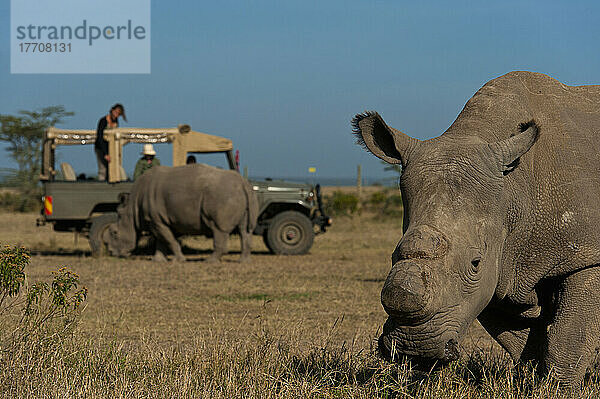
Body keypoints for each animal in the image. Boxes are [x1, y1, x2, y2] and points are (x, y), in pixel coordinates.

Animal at [109, 164, 258, 264]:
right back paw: (243, 262)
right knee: (244, 230)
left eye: (115, 233)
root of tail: (244, 182)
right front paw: (158, 261)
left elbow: (168, 240)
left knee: (219, 229)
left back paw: (209, 261)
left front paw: (179, 260)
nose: (112, 253)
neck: (131, 209)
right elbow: (161, 240)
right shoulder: (161, 220)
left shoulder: (155, 220)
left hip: (222, 195)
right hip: (238, 195)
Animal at [352, 71, 600, 388]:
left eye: (475, 263)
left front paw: (557, 390)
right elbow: (520, 338)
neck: (514, 190)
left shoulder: (585, 252)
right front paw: (531, 383)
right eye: (393, 255)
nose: (414, 347)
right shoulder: (504, 263)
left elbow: (569, 338)